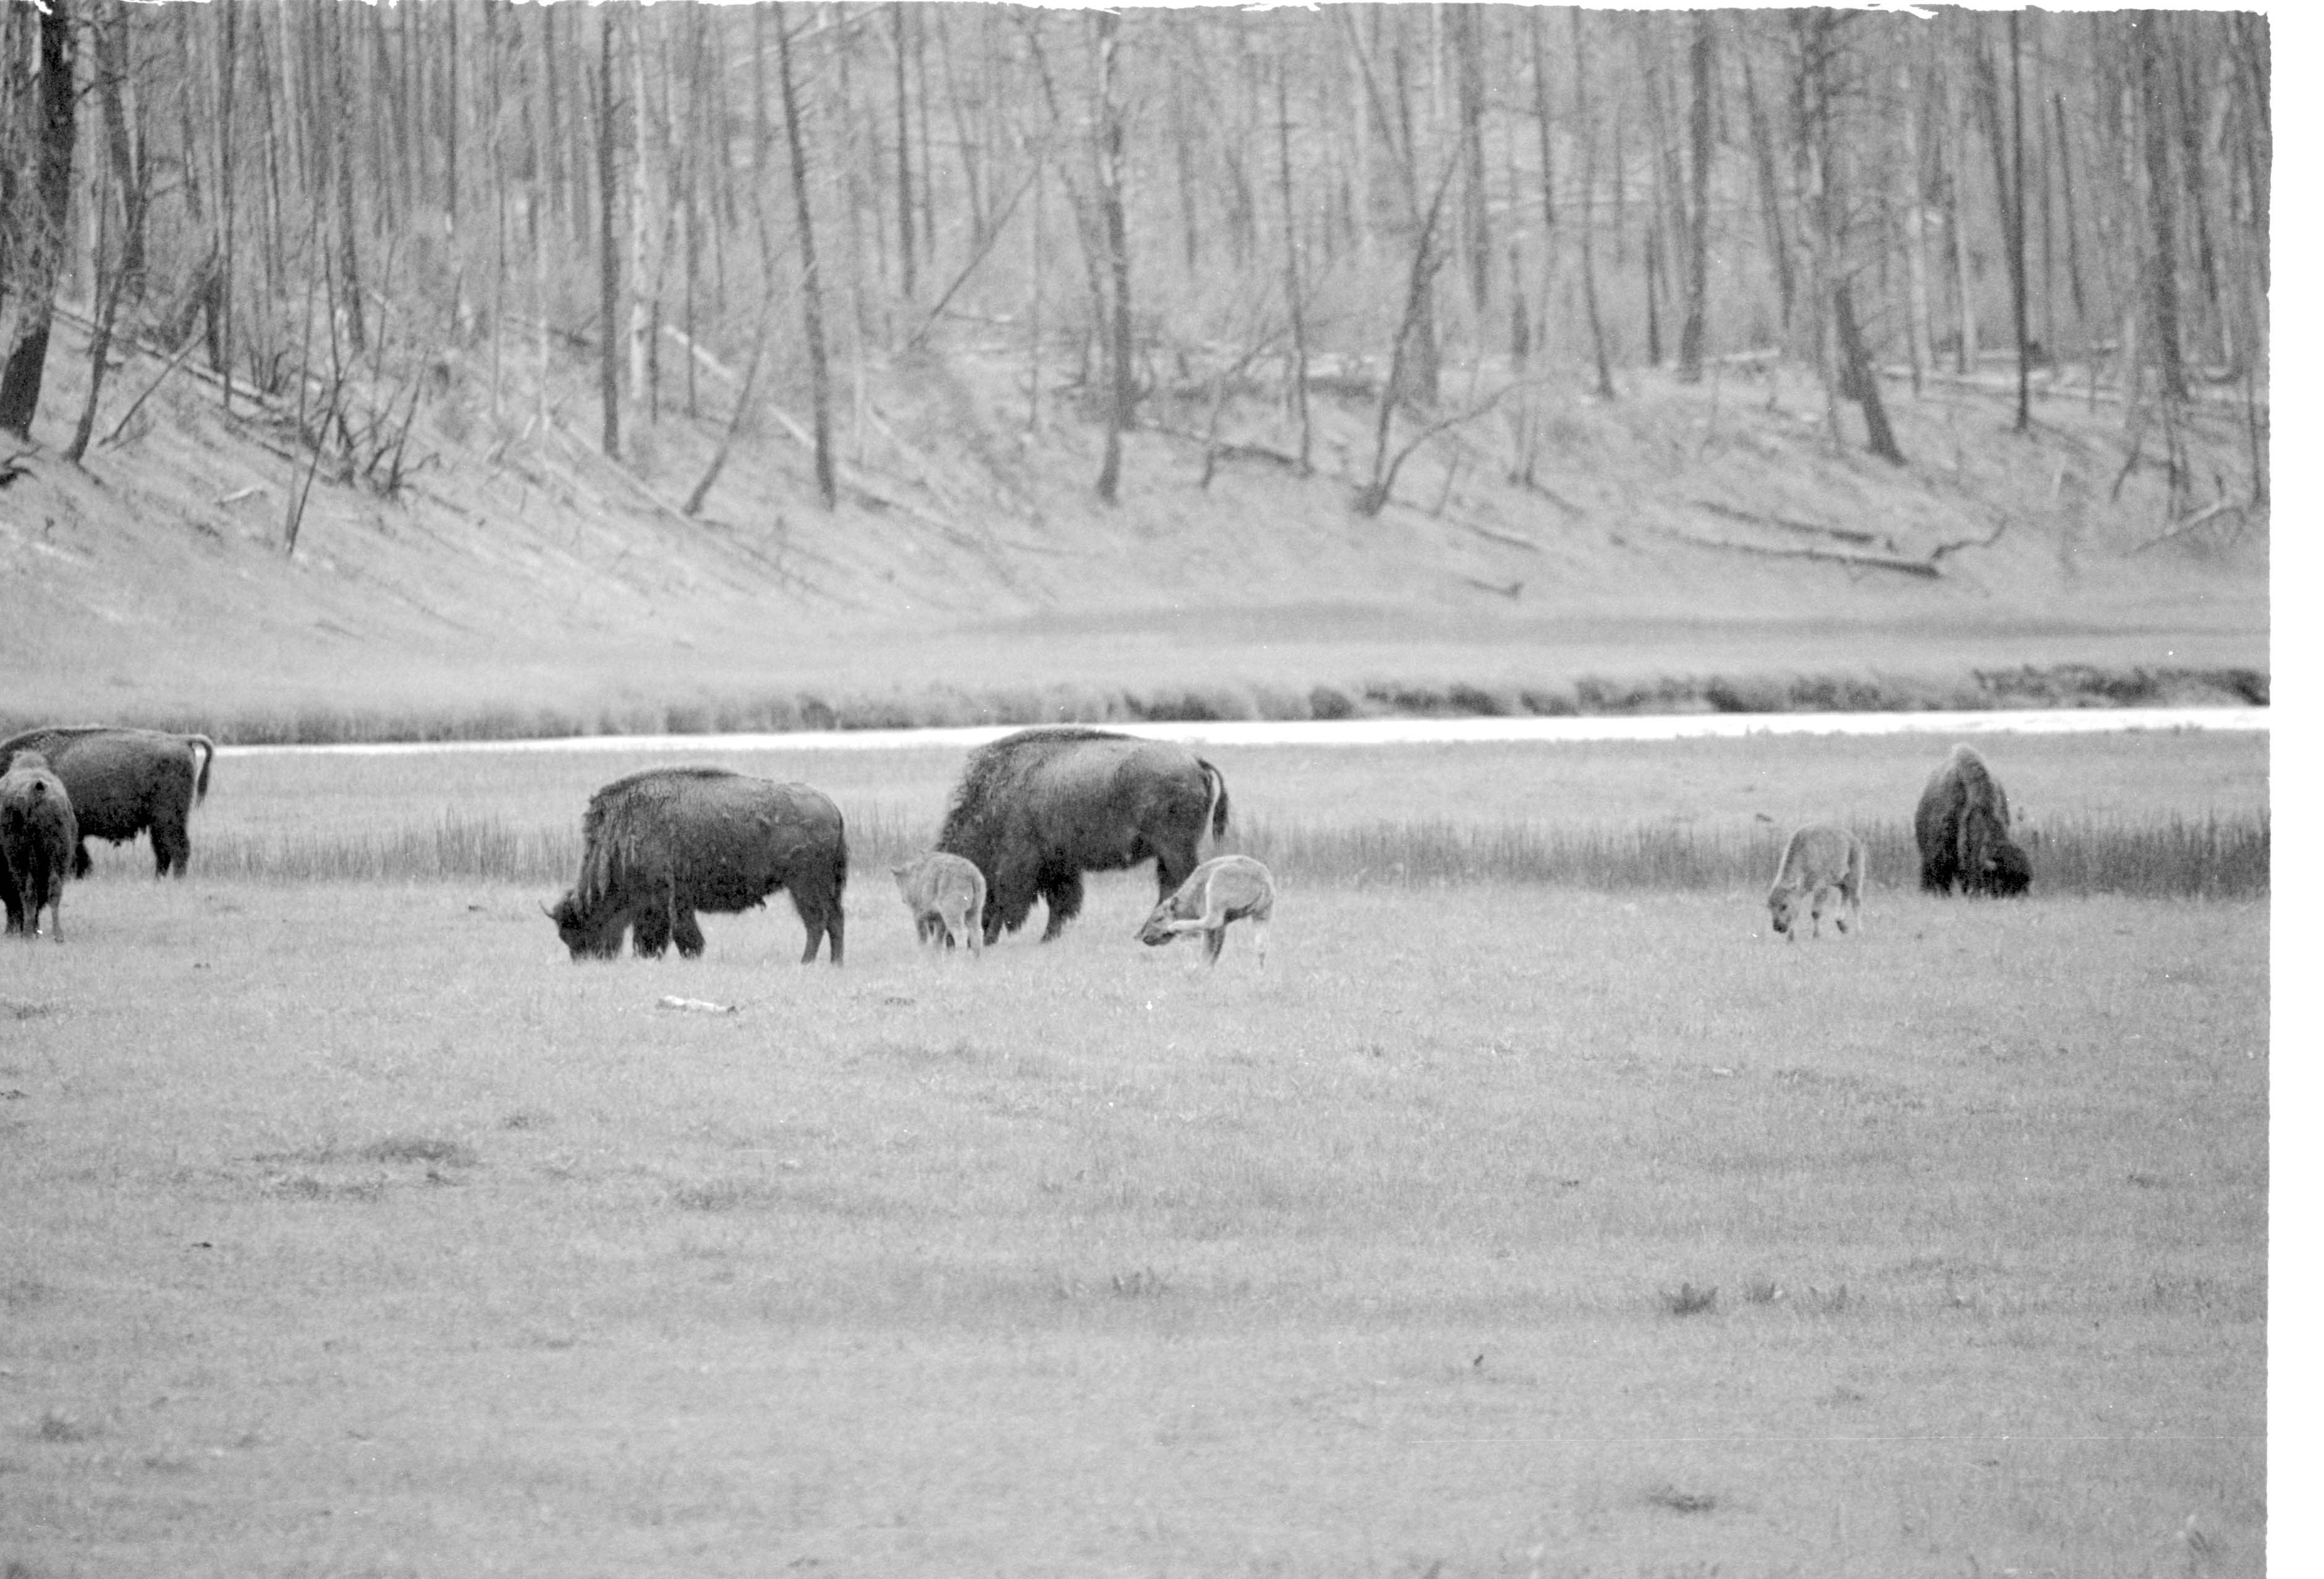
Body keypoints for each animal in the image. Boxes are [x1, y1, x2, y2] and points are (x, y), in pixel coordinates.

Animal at [0, 751, 75, 939]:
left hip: (21, 858)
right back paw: (57, 936)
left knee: (27, 891)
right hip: (57, 856)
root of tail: (37, 788)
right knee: (54, 890)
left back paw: (28, 934)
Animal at [547, 767, 847, 963]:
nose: (585, 960)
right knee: (835, 919)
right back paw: (835, 963)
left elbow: (671, 934)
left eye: (577, 930)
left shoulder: (661, 900)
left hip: (804, 886)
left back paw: (806, 962)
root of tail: (833, 807)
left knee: (817, 921)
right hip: (825, 887)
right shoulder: (673, 901)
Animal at [937, 727, 1230, 944]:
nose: (947, 940)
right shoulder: (1059, 866)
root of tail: (1196, 760)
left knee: (1181, 882)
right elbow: (1061, 903)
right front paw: (1048, 938)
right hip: (1168, 853)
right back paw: (1142, 934)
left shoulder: (1019, 865)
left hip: (1174, 849)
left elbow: (1008, 901)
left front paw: (994, 938)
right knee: (1169, 885)